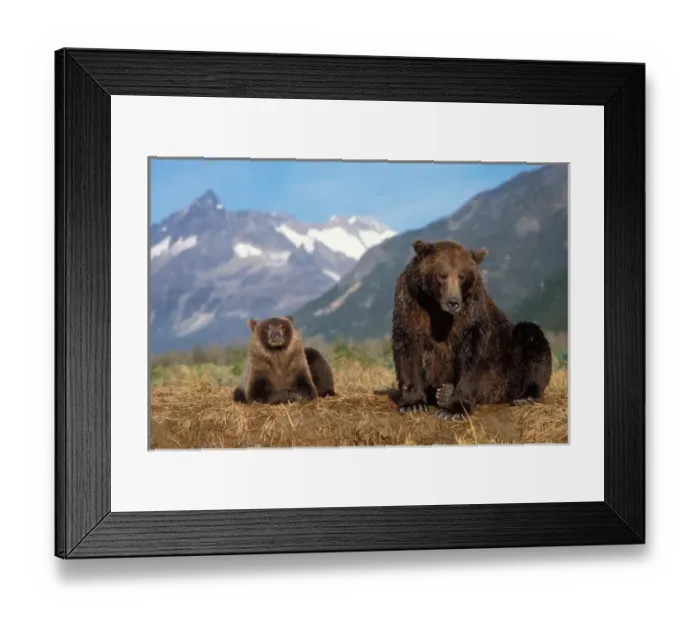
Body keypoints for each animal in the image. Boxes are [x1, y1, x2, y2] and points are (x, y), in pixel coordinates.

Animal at [391, 239, 552, 420]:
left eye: (461, 276)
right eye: (442, 275)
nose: (453, 302)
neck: (437, 307)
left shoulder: (470, 313)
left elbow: (471, 354)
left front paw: (454, 409)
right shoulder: (411, 304)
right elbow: (408, 348)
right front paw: (413, 404)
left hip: (509, 360)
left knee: (531, 338)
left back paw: (527, 395)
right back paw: (443, 393)